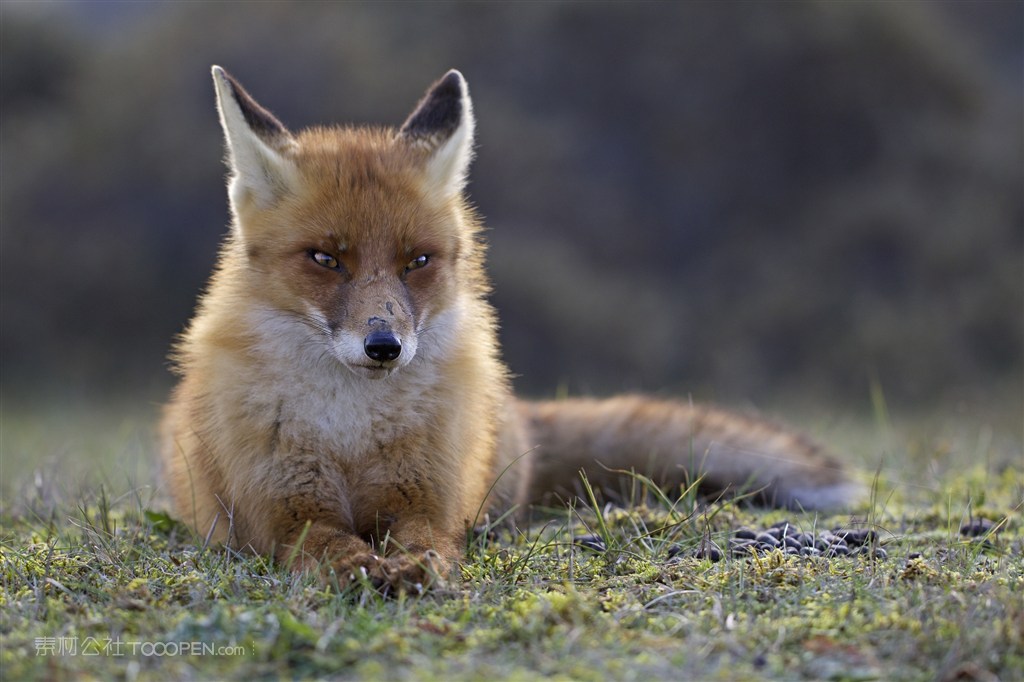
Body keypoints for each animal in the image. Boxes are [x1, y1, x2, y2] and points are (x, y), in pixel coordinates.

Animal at [159, 66, 860, 593]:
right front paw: (363, 570)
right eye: (326, 259)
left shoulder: (426, 501)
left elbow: (430, 542)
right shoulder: (283, 514)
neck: (351, 432)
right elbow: (332, 547)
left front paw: (416, 570)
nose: (384, 346)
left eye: (417, 261)